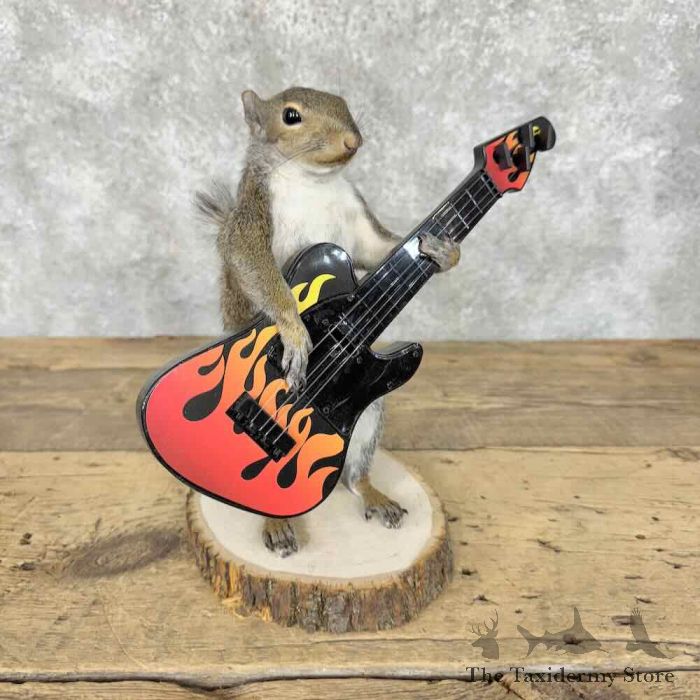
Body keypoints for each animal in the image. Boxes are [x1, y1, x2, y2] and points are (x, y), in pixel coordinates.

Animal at [196, 87, 460, 557]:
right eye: (291, 116)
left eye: (343, 103)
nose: (353, 141)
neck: (313, 181)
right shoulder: (252, 217)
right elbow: (254, 264)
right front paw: (295, 331)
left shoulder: (359, 221)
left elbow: (381, 249)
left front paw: (446, 251)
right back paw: (276, 524)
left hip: (368, 418)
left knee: (354, 477)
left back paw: (373, 495)